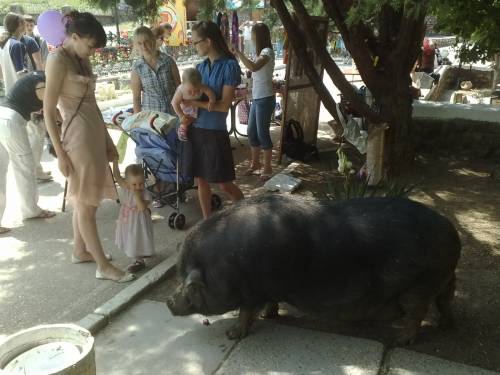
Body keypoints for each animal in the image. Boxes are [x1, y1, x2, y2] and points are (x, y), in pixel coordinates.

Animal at [168, 195, 460, 346]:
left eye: (188, 282)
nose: (169, 301)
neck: (223, 266)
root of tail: (453, 232)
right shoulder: (273, 288)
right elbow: (270, 304)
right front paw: (271, 316)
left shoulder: (252, 292)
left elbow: (246, 313)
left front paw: (232, 335)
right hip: (443, 279)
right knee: (446, 302)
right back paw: (445, 326)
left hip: (420, 284)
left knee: (416, 313)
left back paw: (399, 340)